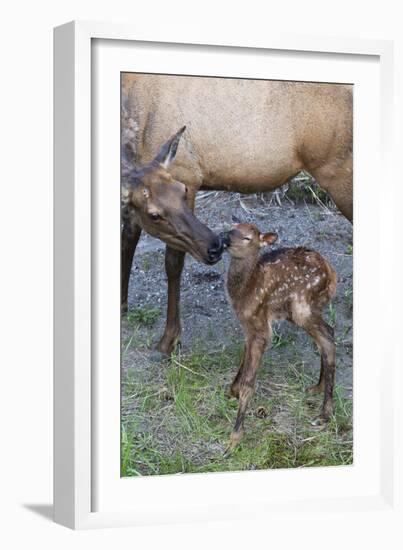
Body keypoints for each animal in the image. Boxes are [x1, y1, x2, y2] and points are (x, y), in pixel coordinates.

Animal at [221, 222, 338, 454]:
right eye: (232, 228)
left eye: (247, 238)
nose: (224, 239)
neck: (244, 291)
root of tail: (331, 274)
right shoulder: (248, 328)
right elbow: (243, 361)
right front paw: (233, 391)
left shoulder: (260, 327)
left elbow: (249, 382)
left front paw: (234, 439)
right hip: (303, 310)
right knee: (327, 334)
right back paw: (317, 387)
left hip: (302, 307)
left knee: (328, 340)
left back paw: (324, 415)